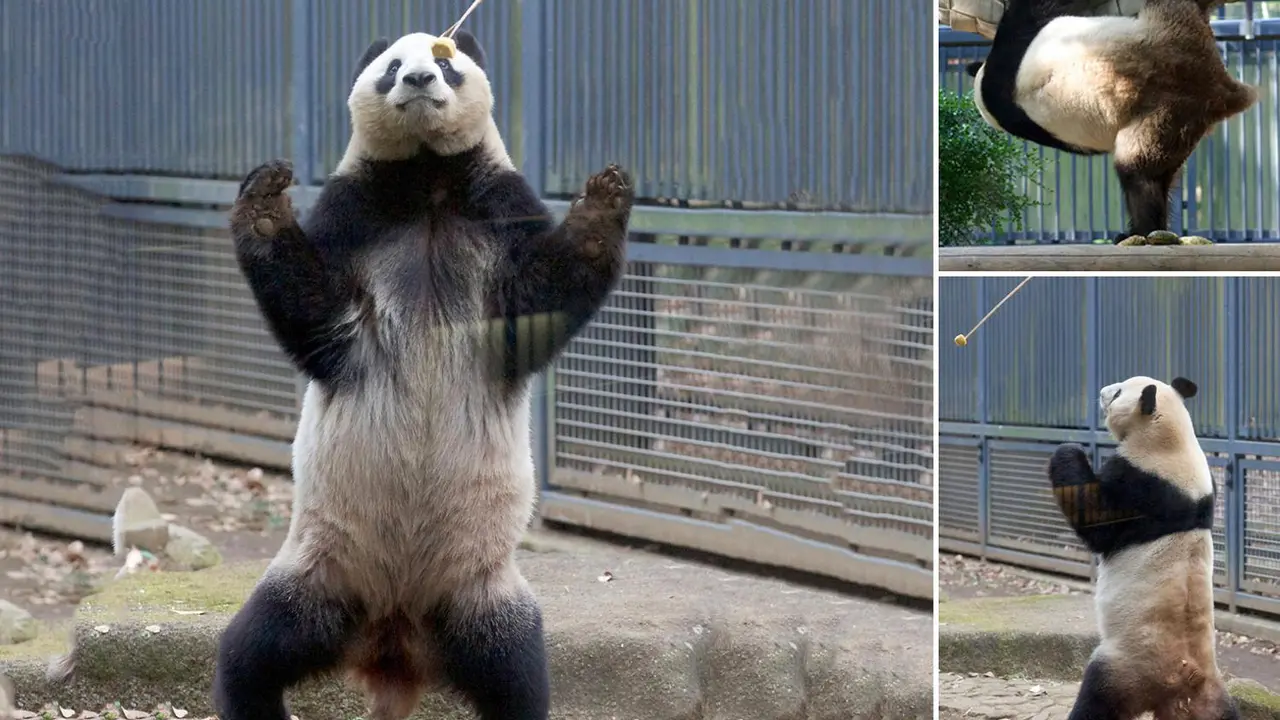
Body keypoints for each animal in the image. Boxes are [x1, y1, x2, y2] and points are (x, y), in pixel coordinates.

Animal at [213, 30, 633, 720]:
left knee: (518, 676)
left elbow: (532, 308)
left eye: (444, 62)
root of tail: (394, 642)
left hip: (481, 590)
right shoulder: (355, 213)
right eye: (390, 67)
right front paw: (268, 202)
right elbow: (317, 315)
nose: (416, 80)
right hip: (319, 571)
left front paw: (604, 201)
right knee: (252, 654)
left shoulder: (499, 210)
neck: (429, 176)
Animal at [1047, 376, 1239, 720]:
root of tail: (1184, 680)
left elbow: (1098, 520)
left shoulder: (1143, 485)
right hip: (1211, 695)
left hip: (1125, 664)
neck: (1172, 438)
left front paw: (1069, 450)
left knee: (1097, 700)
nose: (1101, 393)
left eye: (1118, 393)